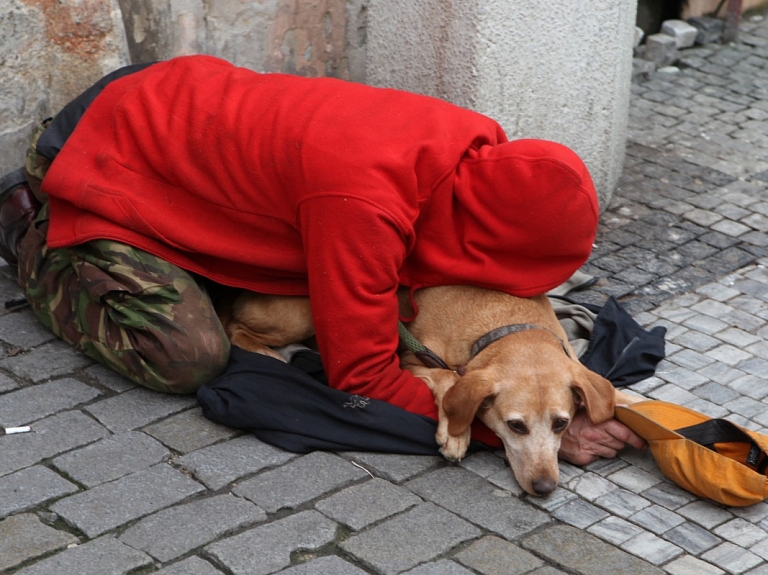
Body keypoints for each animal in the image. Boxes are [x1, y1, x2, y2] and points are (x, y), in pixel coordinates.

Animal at [218, 286, 636, 498]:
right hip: (301, 313)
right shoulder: (409, 360)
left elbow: (615, 394)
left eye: (561, 423)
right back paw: (274, 355)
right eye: (515, 426)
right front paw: (455, 433)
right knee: (237, 330)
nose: (546, 488)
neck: (507, 326)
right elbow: (450, 380)